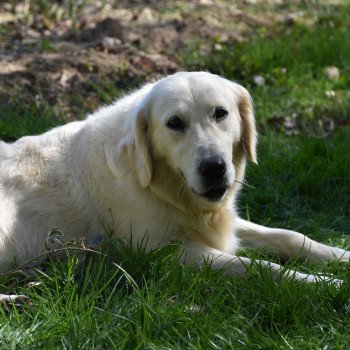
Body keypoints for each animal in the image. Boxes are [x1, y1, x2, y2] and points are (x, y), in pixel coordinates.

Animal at [0, 72, 350, 282]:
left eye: (220, 113)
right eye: (174, 123)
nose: (214, 168)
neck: (161, 186)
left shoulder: (222, 223)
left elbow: (291, 237)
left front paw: (340, 257)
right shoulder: (170, 253)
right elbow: (262, 266)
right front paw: (326, 284)